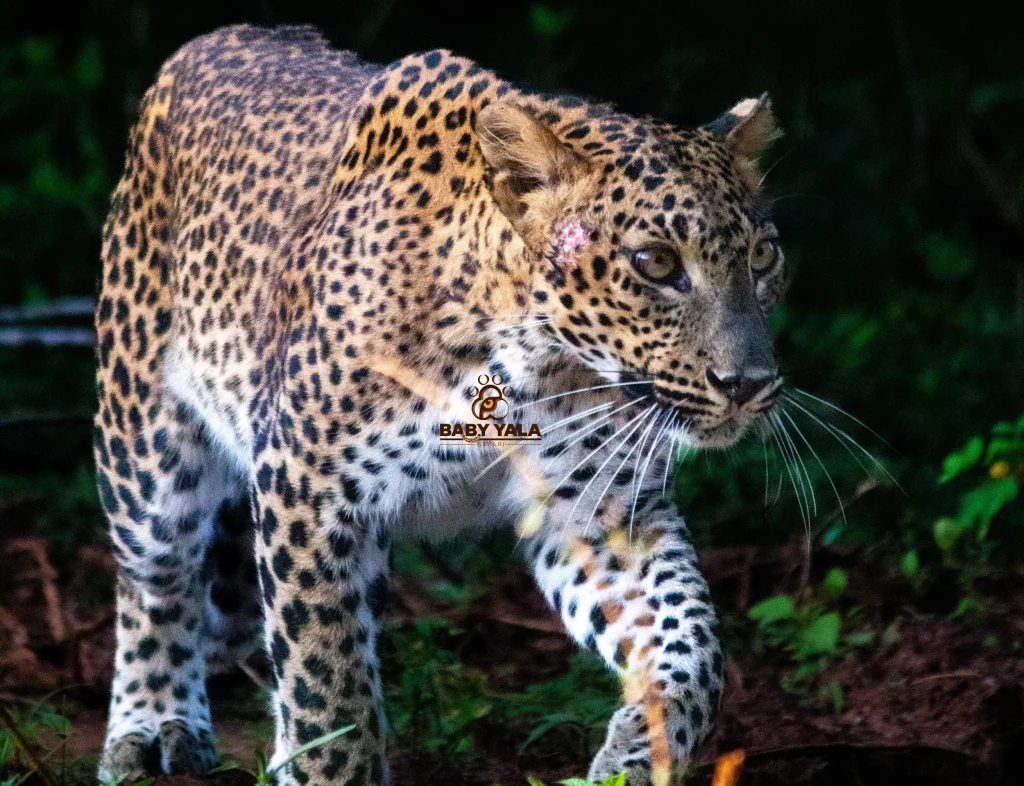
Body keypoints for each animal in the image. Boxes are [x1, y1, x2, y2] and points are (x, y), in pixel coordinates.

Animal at [94, 24, 786, 786]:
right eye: (655, 264)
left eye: (763, 258)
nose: (750, 382)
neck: (528, 357)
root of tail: (213, 39)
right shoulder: (305, 488)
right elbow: (325, 685)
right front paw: (329, 769)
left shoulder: (599, 509)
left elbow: (689, 638)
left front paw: (643, 745)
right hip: (145, 449)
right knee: (156, 583)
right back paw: (152, 724)